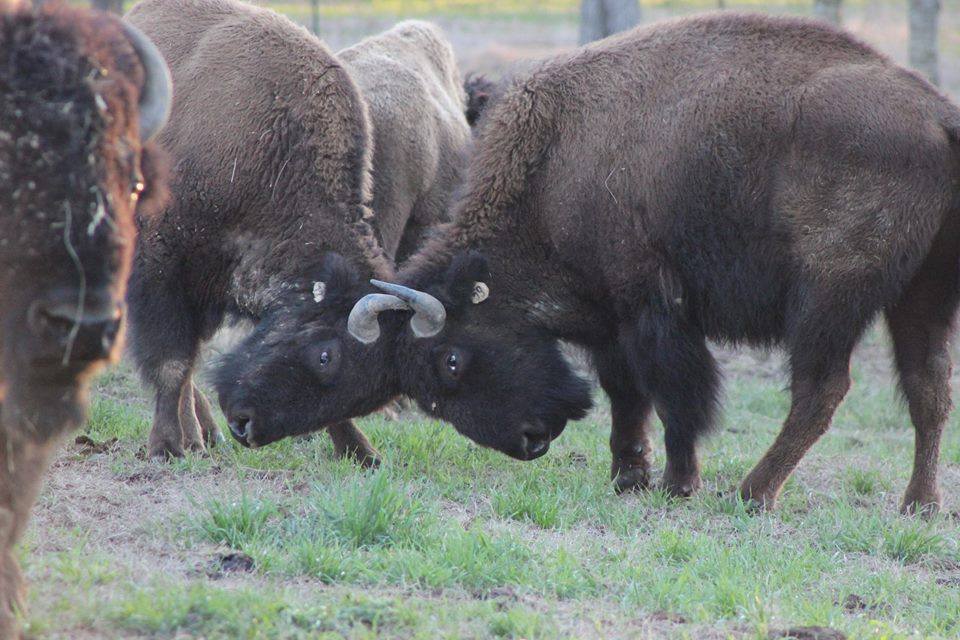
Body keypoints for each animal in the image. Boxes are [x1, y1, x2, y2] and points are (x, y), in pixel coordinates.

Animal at [125, 0, 472, 461]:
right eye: (326, 356)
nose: (248, 428)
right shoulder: (162, 265)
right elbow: (170, 363)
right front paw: (165, 447)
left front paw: (362, 452)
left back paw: (205, 435)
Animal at [328, 13, 960, 515]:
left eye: (452, 359)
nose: (530, 440)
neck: (555, 165)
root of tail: (937, 114)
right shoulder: (609, 319)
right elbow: (627, 395)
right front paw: (629, 477)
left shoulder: (652, 308)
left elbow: (676, 397)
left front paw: (678, 485)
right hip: (920, 298)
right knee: (927, 389)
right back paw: (919, 505)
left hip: (828, 297)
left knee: (822, 390)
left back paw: (753, 493)